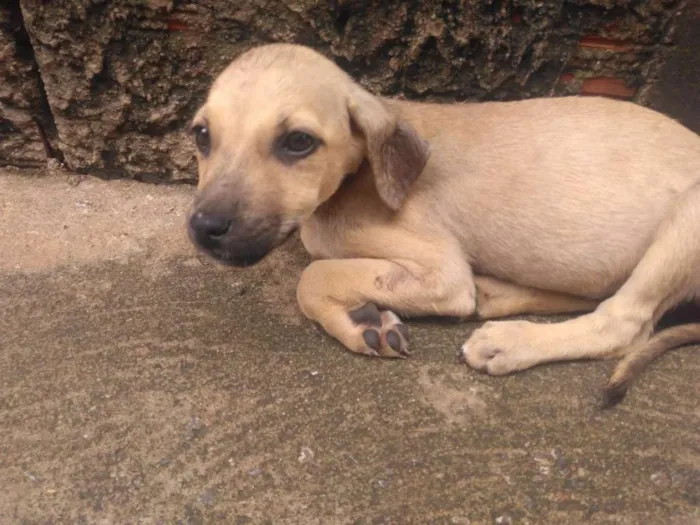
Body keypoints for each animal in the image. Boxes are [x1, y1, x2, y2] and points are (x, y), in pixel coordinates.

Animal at [187, 44, 700, 406]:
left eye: (298, 141)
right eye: (202, 135)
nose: (204, 227)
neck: (360, 175)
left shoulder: (441, 272)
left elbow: (311, 277)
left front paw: (358, 319)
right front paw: (362, 318)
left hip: (685, 222)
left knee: (623, 324)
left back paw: (511, 342)